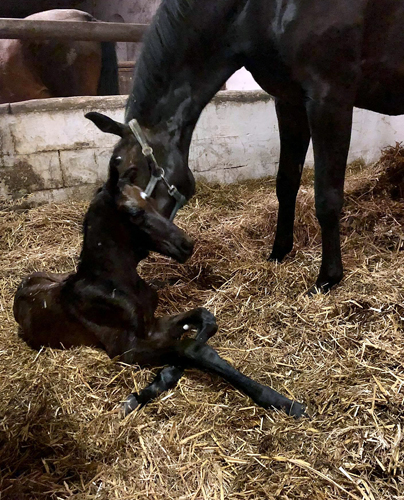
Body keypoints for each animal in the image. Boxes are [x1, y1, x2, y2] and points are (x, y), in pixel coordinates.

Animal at [89, 0, 404, 292]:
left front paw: (328, 278)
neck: (260, 11)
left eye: (132, 174)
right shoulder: (288, 101)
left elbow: (327, 197)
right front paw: (279, 252)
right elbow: (286, 183)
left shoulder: (329, 99)